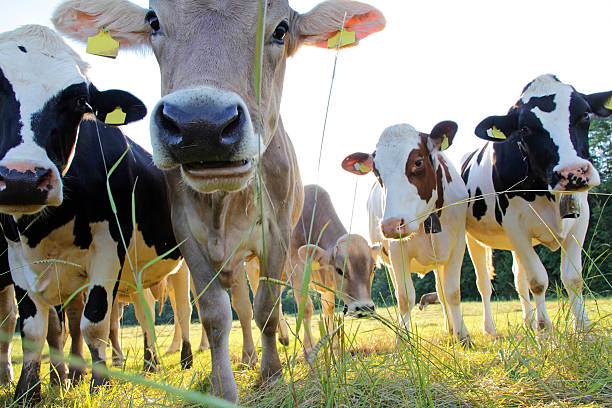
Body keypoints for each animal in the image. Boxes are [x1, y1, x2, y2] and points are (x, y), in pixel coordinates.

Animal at [0, 26, 194, 404]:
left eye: (79, 102)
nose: (21, 179)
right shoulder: (16, 257)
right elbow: (33, 329)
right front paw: (28, 391)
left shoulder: (109, 247)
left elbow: (93, 322)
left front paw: (99, 382)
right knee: (146, 311)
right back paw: (149, 363)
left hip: (182, 263)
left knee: (183, 308)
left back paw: (185, 360)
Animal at [55, 0, 384, 402]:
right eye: (154, 21)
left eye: (281, 29)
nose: (201, 125)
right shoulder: (187, 234)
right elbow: (215, 315)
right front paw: (222, 387)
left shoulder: (277, 236)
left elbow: (268, 309)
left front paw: (272, 375)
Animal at [344, 122, 468, 344]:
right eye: (377, 172)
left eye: (418, 162)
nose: (391, 225)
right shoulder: (396, 252)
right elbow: (404, 297)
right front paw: (403, 341)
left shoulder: (458, 245)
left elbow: (452, 292)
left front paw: (462, 336)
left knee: (441, 292)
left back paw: (451, 329)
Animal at [464, 73, 612, 334]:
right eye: (525, 128)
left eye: (585, 114)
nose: (573, 172)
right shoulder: (514, 224)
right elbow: (538, 280)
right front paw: (544, 330)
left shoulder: (581, 219)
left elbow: (572, 277)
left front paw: (583, 328)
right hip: (474, 239)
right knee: (484, 284)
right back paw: (490, 329)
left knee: (518, 279)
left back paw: (528, 321)